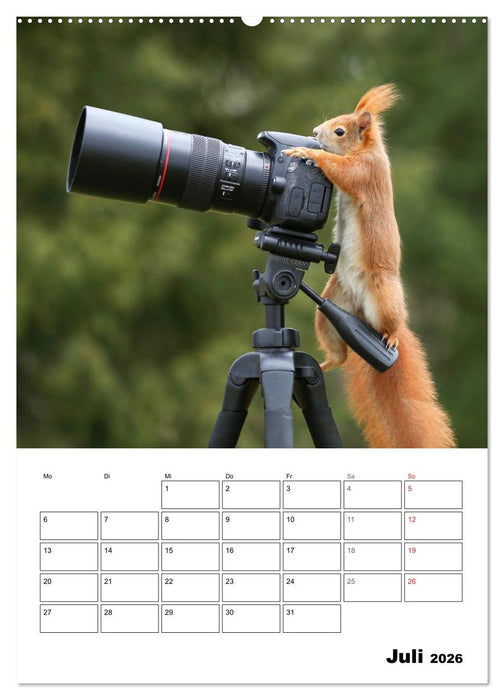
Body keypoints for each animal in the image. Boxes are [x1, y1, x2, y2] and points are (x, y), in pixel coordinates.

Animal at [284, 84, 456, 448]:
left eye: (339, 130)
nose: (314, 133)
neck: (368, 149)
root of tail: (363, 315)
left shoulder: (365, 171)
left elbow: (341, 169)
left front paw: (304, 153)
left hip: (382, 293)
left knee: (390, 323)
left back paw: (389, 337)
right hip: (329, 307)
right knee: (341, 354)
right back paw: (325, 364)